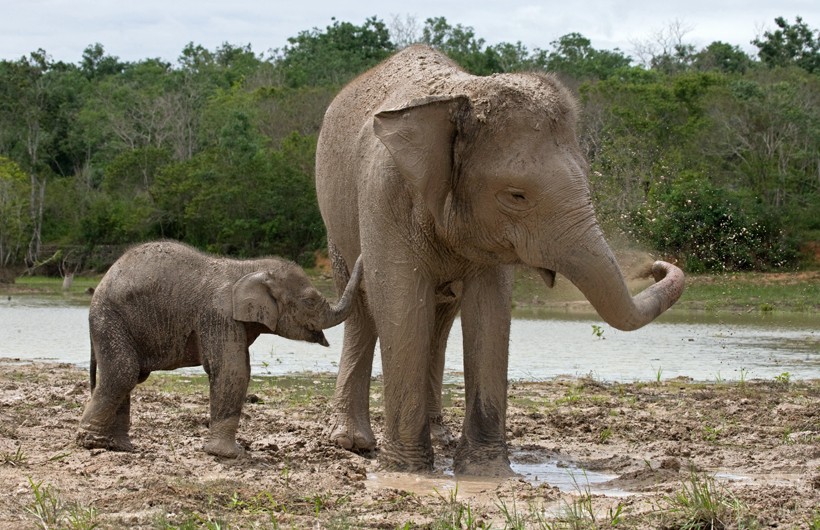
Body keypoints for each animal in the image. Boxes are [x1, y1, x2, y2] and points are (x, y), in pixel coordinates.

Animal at [77, 241, 362, 456]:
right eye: (310, 301)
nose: (361, 254)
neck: (248, 267)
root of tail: (102, 282)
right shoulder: (219, 314)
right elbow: (231, 369)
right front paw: (230, 455)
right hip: (109, 318)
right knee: (123, 373)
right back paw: (93, 443)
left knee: (129, 376)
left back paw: (121, 447)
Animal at [316, 46, 684, 474]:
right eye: (516, 196)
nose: (653, 266)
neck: (460, 96)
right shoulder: (384, 193)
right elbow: (400, 303)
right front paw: (406, 471)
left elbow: (489, 308)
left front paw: (486, 472)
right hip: (335, 223)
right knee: (362, 309)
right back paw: (351, 442)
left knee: (441, 316)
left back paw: (438, 436)